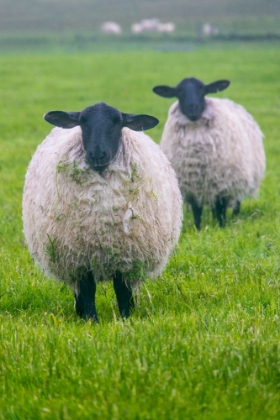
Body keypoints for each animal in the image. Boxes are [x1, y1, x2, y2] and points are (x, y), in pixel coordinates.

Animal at [23, 101, 183, 322]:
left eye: (118, 122)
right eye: (82, 122)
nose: (97, 155)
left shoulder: (126, 256)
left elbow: (122, 290)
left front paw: (125, 318)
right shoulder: (81, 257)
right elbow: (87, 290)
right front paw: (92, 320)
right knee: (78, 290)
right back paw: (81, 313)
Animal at [153, 77, 264, 231]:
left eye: (202, 89)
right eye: (179, 91)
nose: (193, 109)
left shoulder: (222, 184)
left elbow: (221, 209)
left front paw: (221, 227)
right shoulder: (193, 185)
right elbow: (197, 211)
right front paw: (199, 229)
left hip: (238, 180)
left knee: (235, 202)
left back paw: (235, 218)